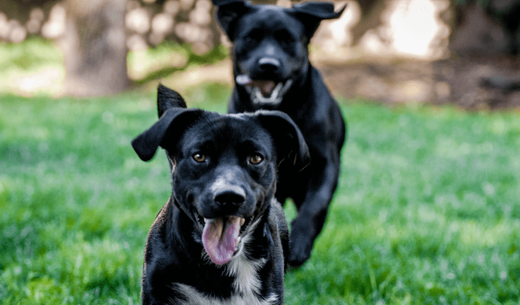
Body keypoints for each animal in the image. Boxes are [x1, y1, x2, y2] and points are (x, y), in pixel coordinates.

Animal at [213, 0, 348, 266]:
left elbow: (316, 205)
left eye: (288, 39)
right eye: (250, 37)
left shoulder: (325, 163)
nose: (268, 64)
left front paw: (300, 243)